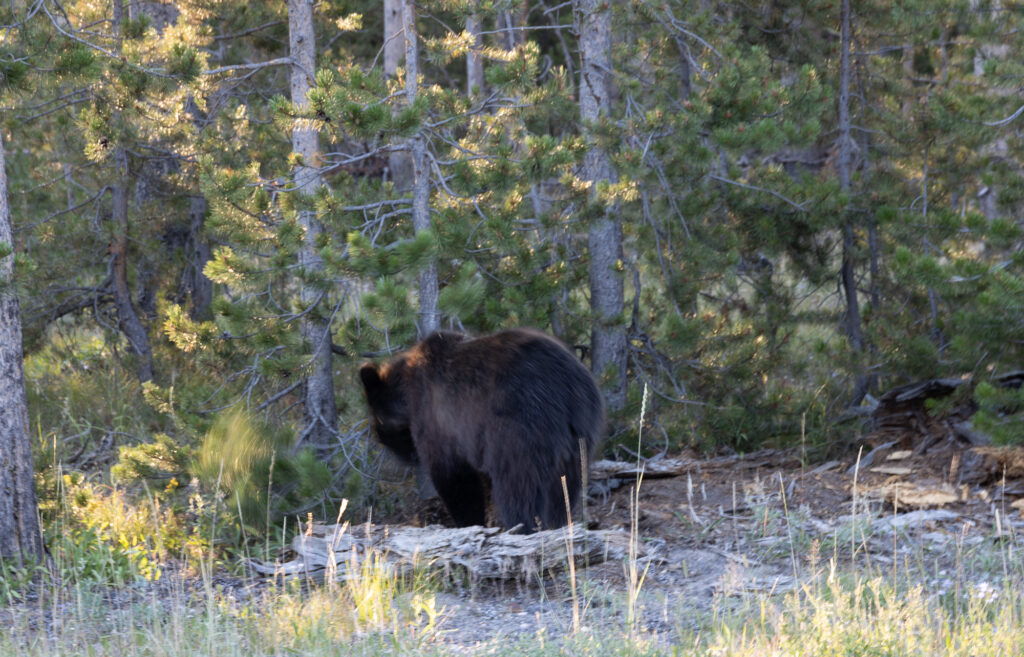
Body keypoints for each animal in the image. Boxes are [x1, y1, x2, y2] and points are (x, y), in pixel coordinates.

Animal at [358, 325, 598, 528]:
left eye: (379, 424)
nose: (402, 455)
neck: (407, 396)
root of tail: (566, 388)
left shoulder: (440, 421)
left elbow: (455, 478)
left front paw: (469, 521)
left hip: (521, 427)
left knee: (518, 483)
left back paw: (522, 524)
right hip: (578, 435)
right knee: (564, 486)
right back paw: (558, 523)